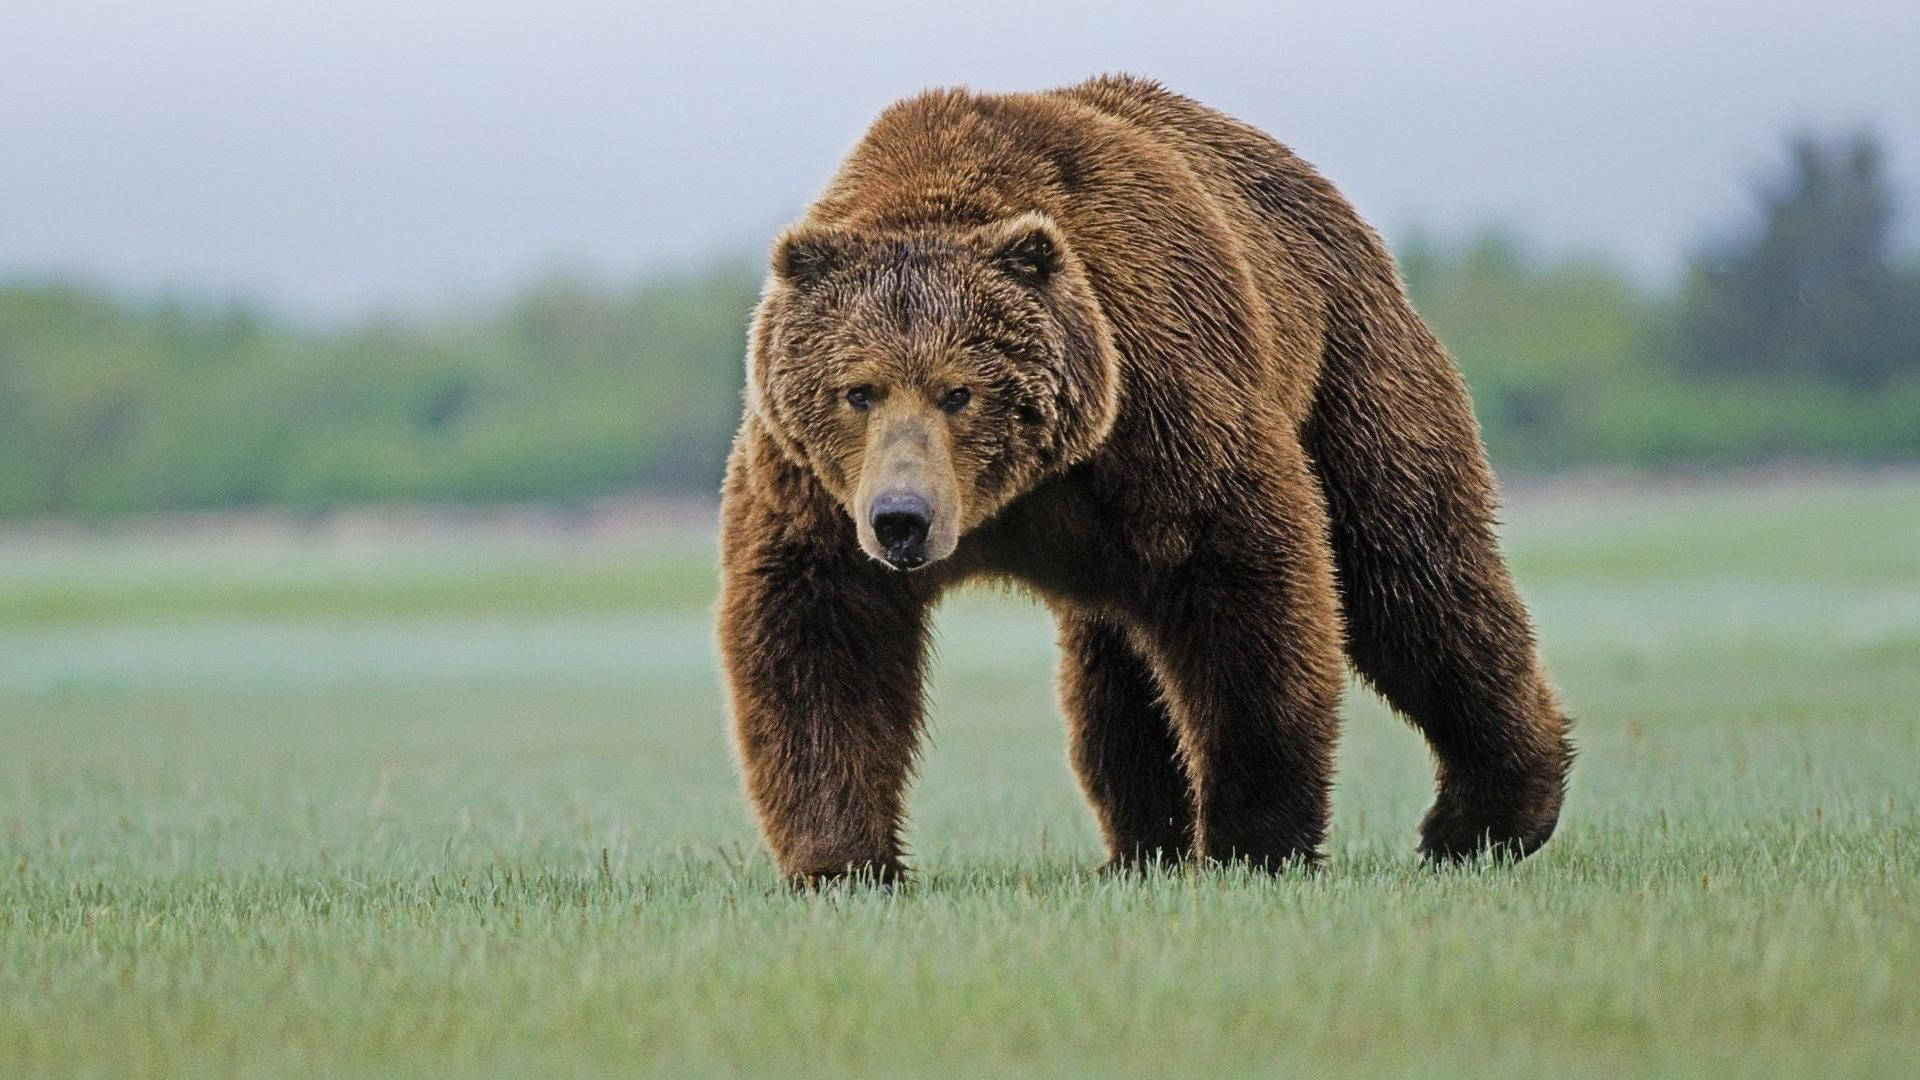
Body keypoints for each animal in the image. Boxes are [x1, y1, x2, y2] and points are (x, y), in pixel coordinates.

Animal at [714, 73, 1566, 883]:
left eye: (960, 391)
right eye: (858, 390)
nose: (902, 518)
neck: (1019, 494)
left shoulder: (1161, 410)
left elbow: (1249, 600)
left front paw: (1254, 841)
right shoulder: (815, 489)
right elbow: (821, 639)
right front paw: (842, 860)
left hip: (1348, 367)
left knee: (1413, 573)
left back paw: (1487, 816)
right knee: (1116, 671)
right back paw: (1142, 845)